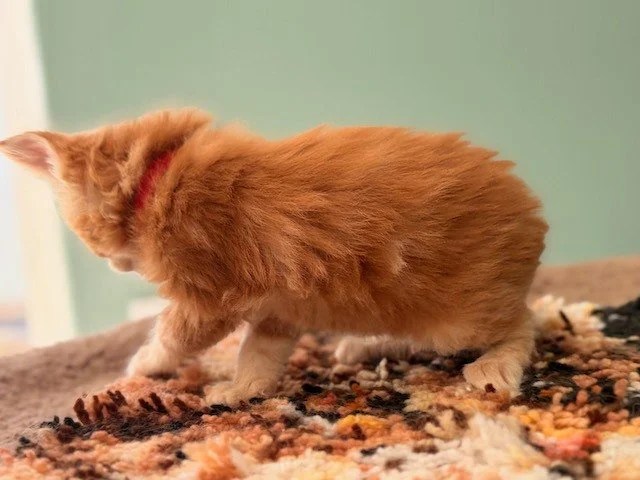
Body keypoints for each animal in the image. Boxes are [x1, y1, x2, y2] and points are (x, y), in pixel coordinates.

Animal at [0, 108, 547, 404]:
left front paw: (143, 364)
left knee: (525, 323)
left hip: (459, 317)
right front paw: (242, 392)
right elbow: (258, 354)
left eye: (86, 238)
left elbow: (172, 336)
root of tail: (531, 210)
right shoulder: (280, 302)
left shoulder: (208, 298)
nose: (115, 264)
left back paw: (494, 369)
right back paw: (361, 346)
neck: (157, 176)